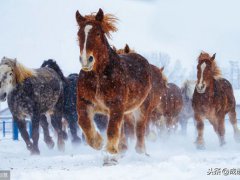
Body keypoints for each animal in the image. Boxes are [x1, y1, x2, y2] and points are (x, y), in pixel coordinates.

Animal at [75, 9, 161, 165]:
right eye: (79, 34)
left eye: (98, 33)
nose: (86, 60)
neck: (99, 76)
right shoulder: (85, 103)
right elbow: (84, 122)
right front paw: (98, 143)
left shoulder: (116, 105)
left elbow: (112, 129)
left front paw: (110, 151)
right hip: (126, 112)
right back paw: (121, 150)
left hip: (141, 108)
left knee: (140, 129)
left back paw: (140, 152)